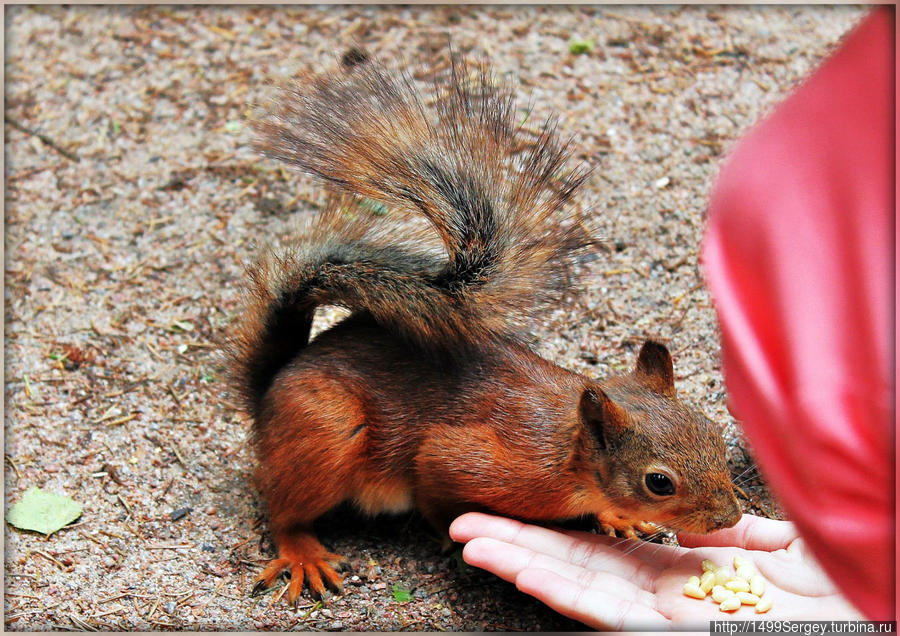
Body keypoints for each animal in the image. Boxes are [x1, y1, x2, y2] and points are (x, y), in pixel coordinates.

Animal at [229, 53, 740, 600]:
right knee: (283, 509)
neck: (568, 452)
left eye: (713, 433)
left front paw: (616, 517)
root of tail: (269, 390)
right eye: (658, 482)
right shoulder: (464, 458)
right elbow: (436, 494)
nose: (730, 518)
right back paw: (302, 551)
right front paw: (452, 539)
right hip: (325, 432)